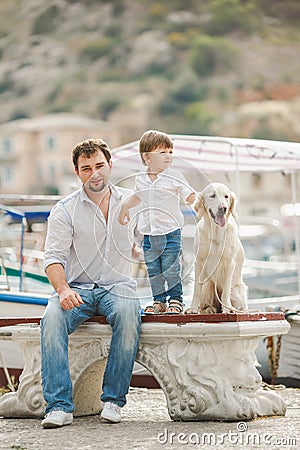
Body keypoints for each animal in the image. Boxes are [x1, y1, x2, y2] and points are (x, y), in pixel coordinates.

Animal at [186, 182, 247, 312]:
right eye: (212, 196)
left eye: (226, 196)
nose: (223, 208)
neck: (216, 233)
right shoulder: (199, 261)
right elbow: (196, 290)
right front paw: (192, 308)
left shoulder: (230, 263)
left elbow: (226, 291)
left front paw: (227, 309)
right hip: (208, 284)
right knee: (205, 303)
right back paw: (209, 309)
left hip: (236, 291)